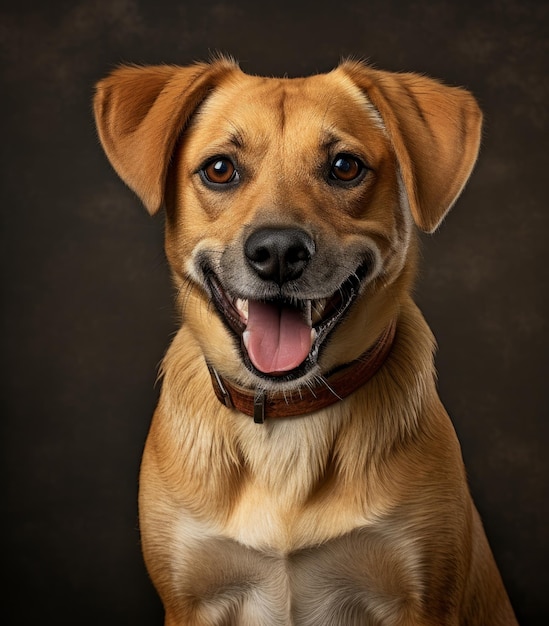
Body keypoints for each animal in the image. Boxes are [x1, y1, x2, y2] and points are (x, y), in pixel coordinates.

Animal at [94, 56, 520, 620]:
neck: (287, 420)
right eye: (219, 169)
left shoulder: (424, 599)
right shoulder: (191, 600)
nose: (277, 251)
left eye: (345, 166)